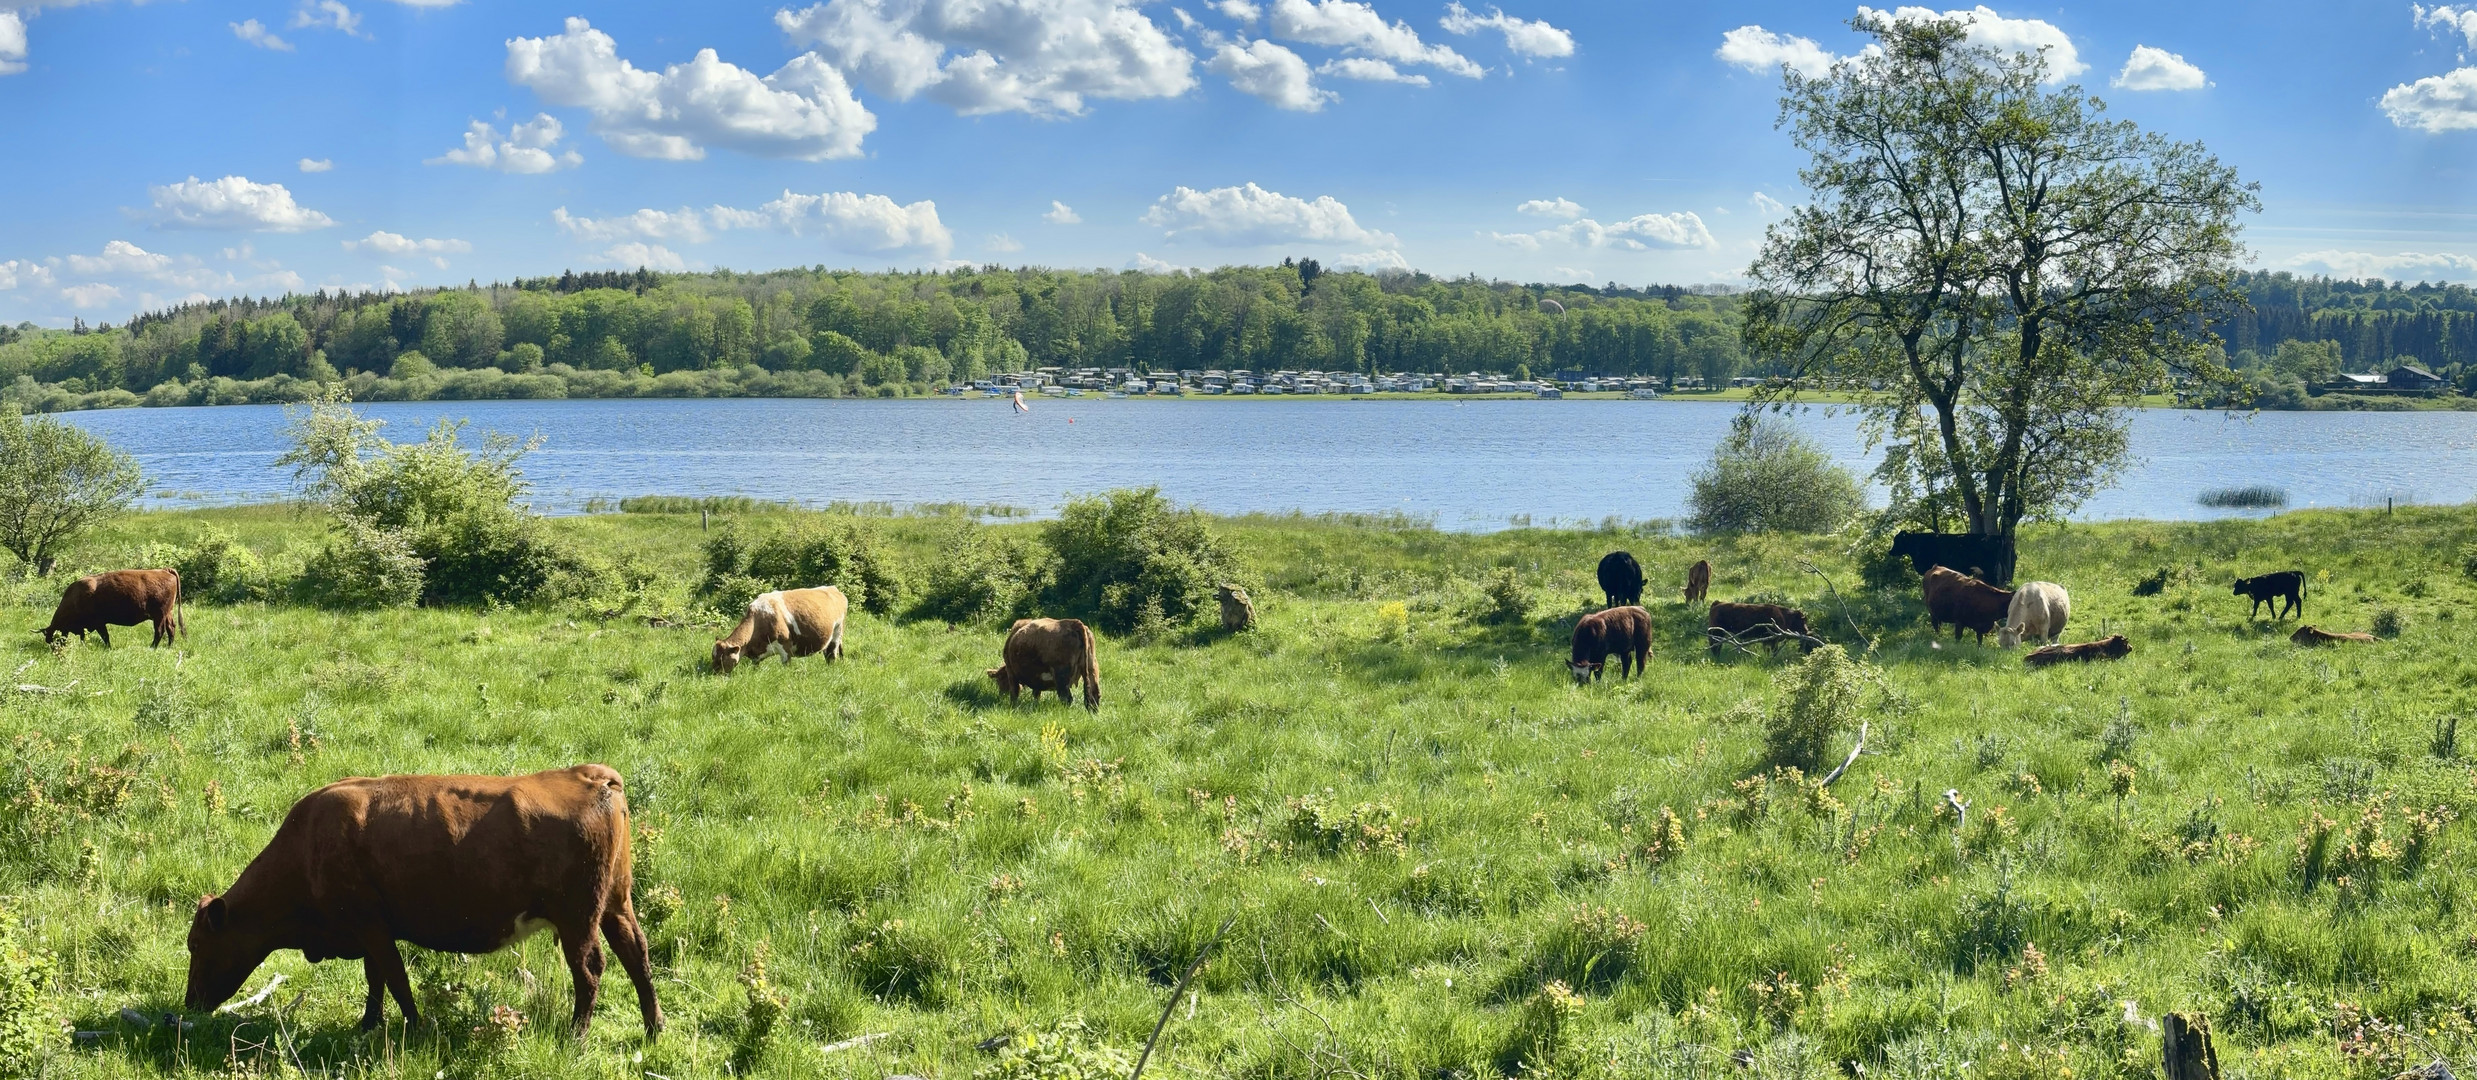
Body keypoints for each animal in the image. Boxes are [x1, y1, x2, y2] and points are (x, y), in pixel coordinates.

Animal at [40, 569, 180, 644]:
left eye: (52, 638)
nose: (55, 650)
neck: (76, 596)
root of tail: (164, 570)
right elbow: (84, 636)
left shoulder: (98, 623)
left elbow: (105, 636)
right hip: (167, 614)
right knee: (171, 628)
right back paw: (168, 646)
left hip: (159, 616)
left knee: (159, 631)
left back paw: (152, 647)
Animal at [183, 762, 663, 1040]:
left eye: (198, 945)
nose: (189, 1004)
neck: (307, 846)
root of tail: (597, 776)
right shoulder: (370, 928)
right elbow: (376, 979)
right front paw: (368, 1024)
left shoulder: (369, 924)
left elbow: (394, 979)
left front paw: (414, 1028)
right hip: (616, 905)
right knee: (636, 956)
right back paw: (653, 1028)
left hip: (577, 917)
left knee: (590, 969)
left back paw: (576, 1035)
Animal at [713, 587, 847, 668]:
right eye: (713, 657)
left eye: (721, 660)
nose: (713, 674)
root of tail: (833, 588)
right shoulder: (756, 655)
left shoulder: (785, 648)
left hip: (837, 631)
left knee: (832, 654)